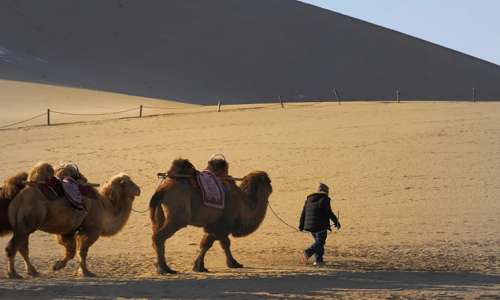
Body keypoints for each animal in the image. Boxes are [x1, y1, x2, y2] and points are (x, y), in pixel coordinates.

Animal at [5, 162, 143, 278]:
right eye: (131, 183)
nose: (139, 189)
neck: (105, 207)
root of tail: (20, 197)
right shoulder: (91, 229)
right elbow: (82, 251)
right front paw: (85, 272)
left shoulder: (67, 230)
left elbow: (71, 251)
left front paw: (57, 266)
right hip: (28, 221)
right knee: (12, 247)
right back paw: (13, 274)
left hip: (21, 224)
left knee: (22, 247)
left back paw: (32, 272)